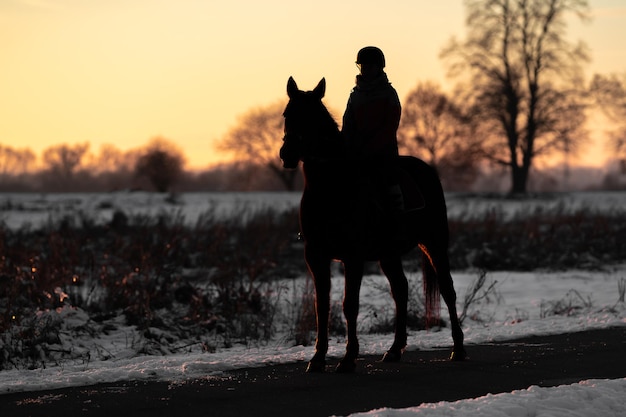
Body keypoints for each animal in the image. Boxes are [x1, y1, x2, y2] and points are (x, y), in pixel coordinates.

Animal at [278, 76, 464, 372]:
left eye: (312, 116)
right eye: (288, 114)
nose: (288, 154)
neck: (331, 189)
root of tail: (427, 169)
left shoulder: (353, 256)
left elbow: (349, 304)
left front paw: (348, 358)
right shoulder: (316, 256)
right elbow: (322, 306)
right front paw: (317, 358)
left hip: (434, 242)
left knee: (447, 289)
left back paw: (458, 348)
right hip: (389, 254)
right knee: (400, 290)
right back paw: (395, 349)